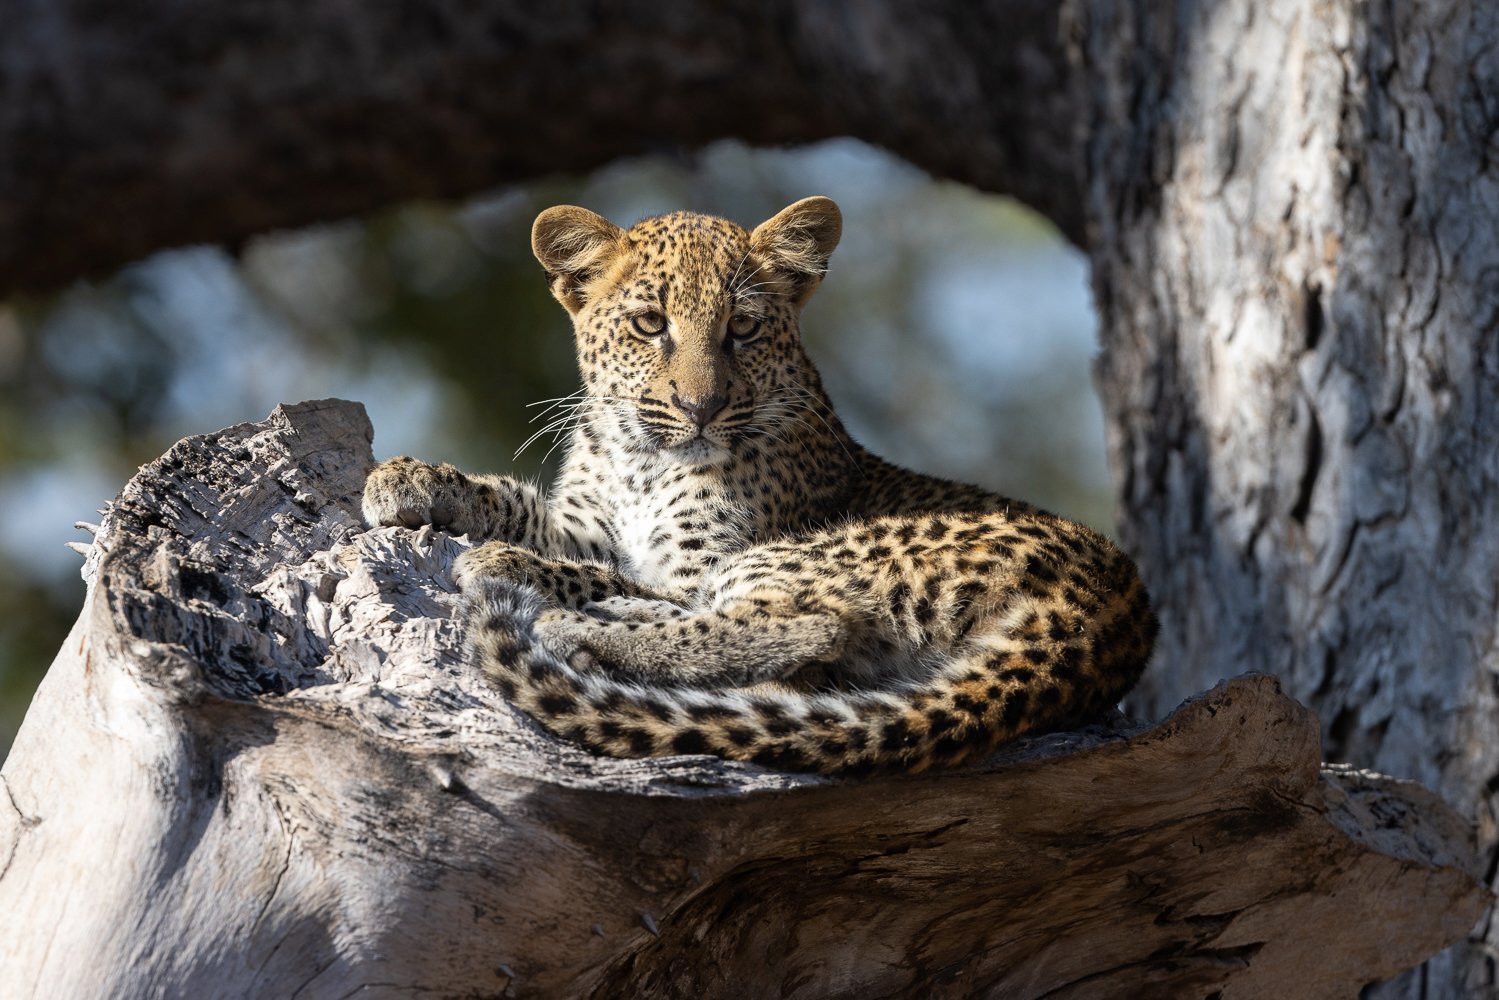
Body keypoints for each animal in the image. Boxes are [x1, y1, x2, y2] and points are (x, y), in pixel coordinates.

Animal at [362, 196, 1156, 775]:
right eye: (649, 324)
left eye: (741, 328)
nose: (700, 407)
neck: (638, 460)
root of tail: (1108, 617)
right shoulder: (588, 522)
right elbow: (522, 505)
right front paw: (409, 479)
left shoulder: (697, 560)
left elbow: (605, 572)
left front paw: (503, 558)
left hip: (818, 554)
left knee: (805, 623)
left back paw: (572, 624)